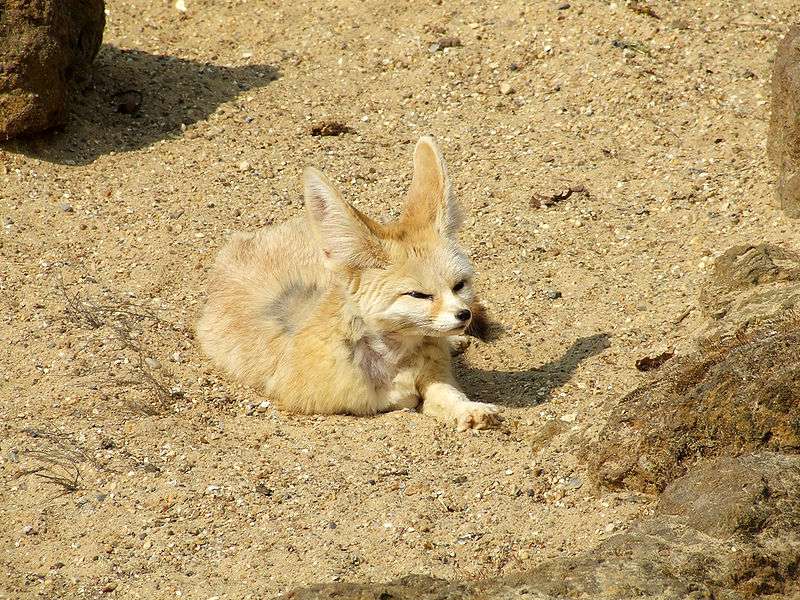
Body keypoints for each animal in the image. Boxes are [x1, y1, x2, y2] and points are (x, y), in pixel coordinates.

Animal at [197, 138, 500, 428]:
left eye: (459, 285)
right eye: (418, 295)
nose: (464, 314)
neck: (395, 359)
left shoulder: (435, 373)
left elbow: (447, 394)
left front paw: (469, 409)